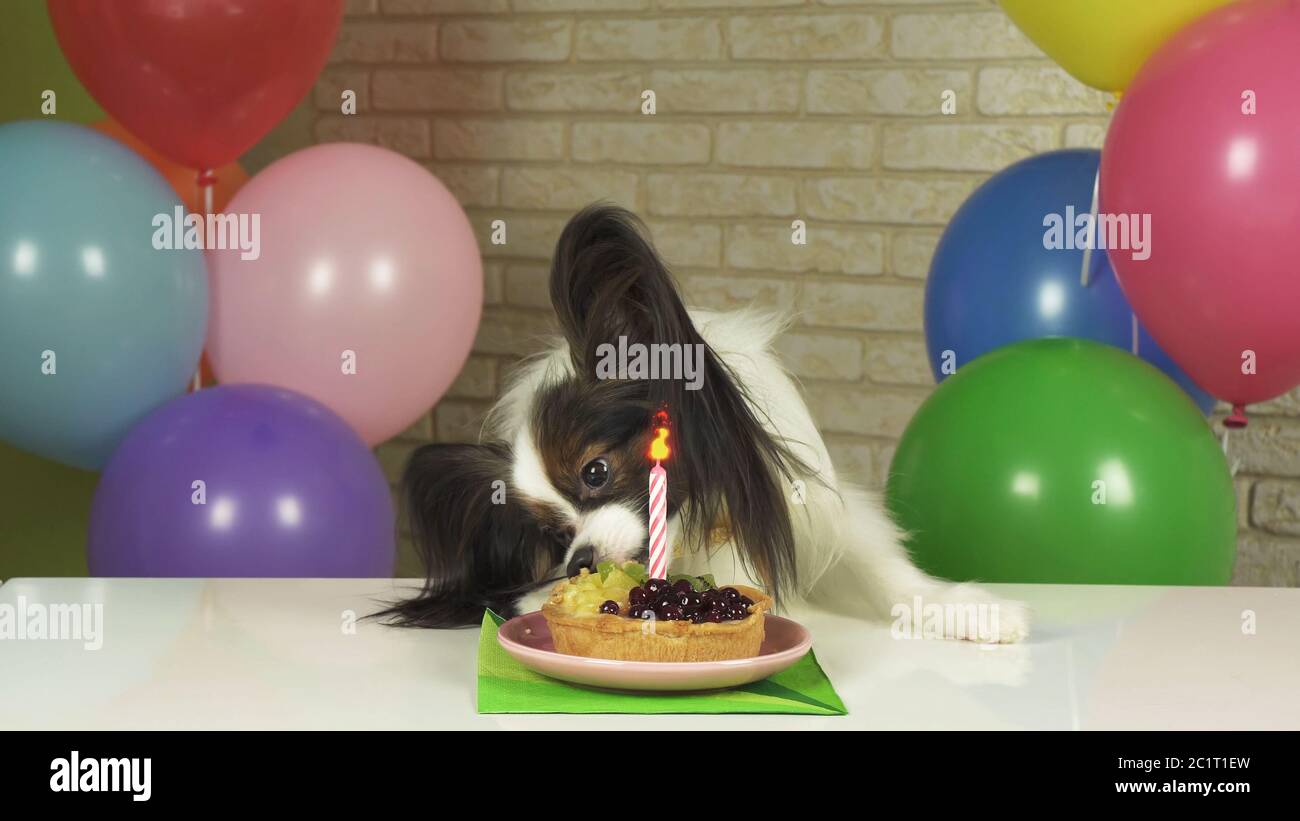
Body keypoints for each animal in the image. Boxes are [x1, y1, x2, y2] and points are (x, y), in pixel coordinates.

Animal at [379, 205, 1029, 641]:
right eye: (555, 536)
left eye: (595, 471)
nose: (580, 560)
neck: (703, 516)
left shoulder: (819, 518)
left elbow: (888, 573)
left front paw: (966, 610)